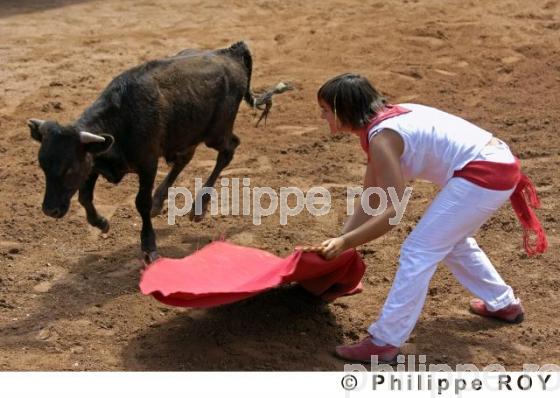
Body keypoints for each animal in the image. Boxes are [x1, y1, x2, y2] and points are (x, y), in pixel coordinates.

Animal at [29, 42, 294, 262]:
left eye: (69, 169)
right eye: (43, 167)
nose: (50, 210)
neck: (122, 117)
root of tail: (229, 53)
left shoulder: (147, 163)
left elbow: (140, 203)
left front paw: (149, 247)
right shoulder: (95, 159)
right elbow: (85, 196)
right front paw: (101, 223)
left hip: (216, 132)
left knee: (229, 150)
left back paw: (199, 206)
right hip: (187, 133)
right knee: (185, 158)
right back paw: (161, 200)